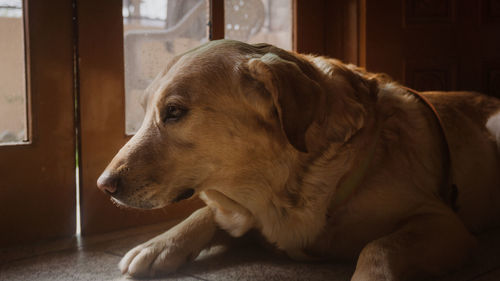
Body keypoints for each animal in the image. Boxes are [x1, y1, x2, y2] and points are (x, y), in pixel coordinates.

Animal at [96, 40, 500, 280]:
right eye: (145, 110)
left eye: (175, 111)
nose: (104, 185)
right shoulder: (248, 216)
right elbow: (206, 212)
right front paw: (158, 245)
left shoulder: (443, 222)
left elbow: (379, 248)